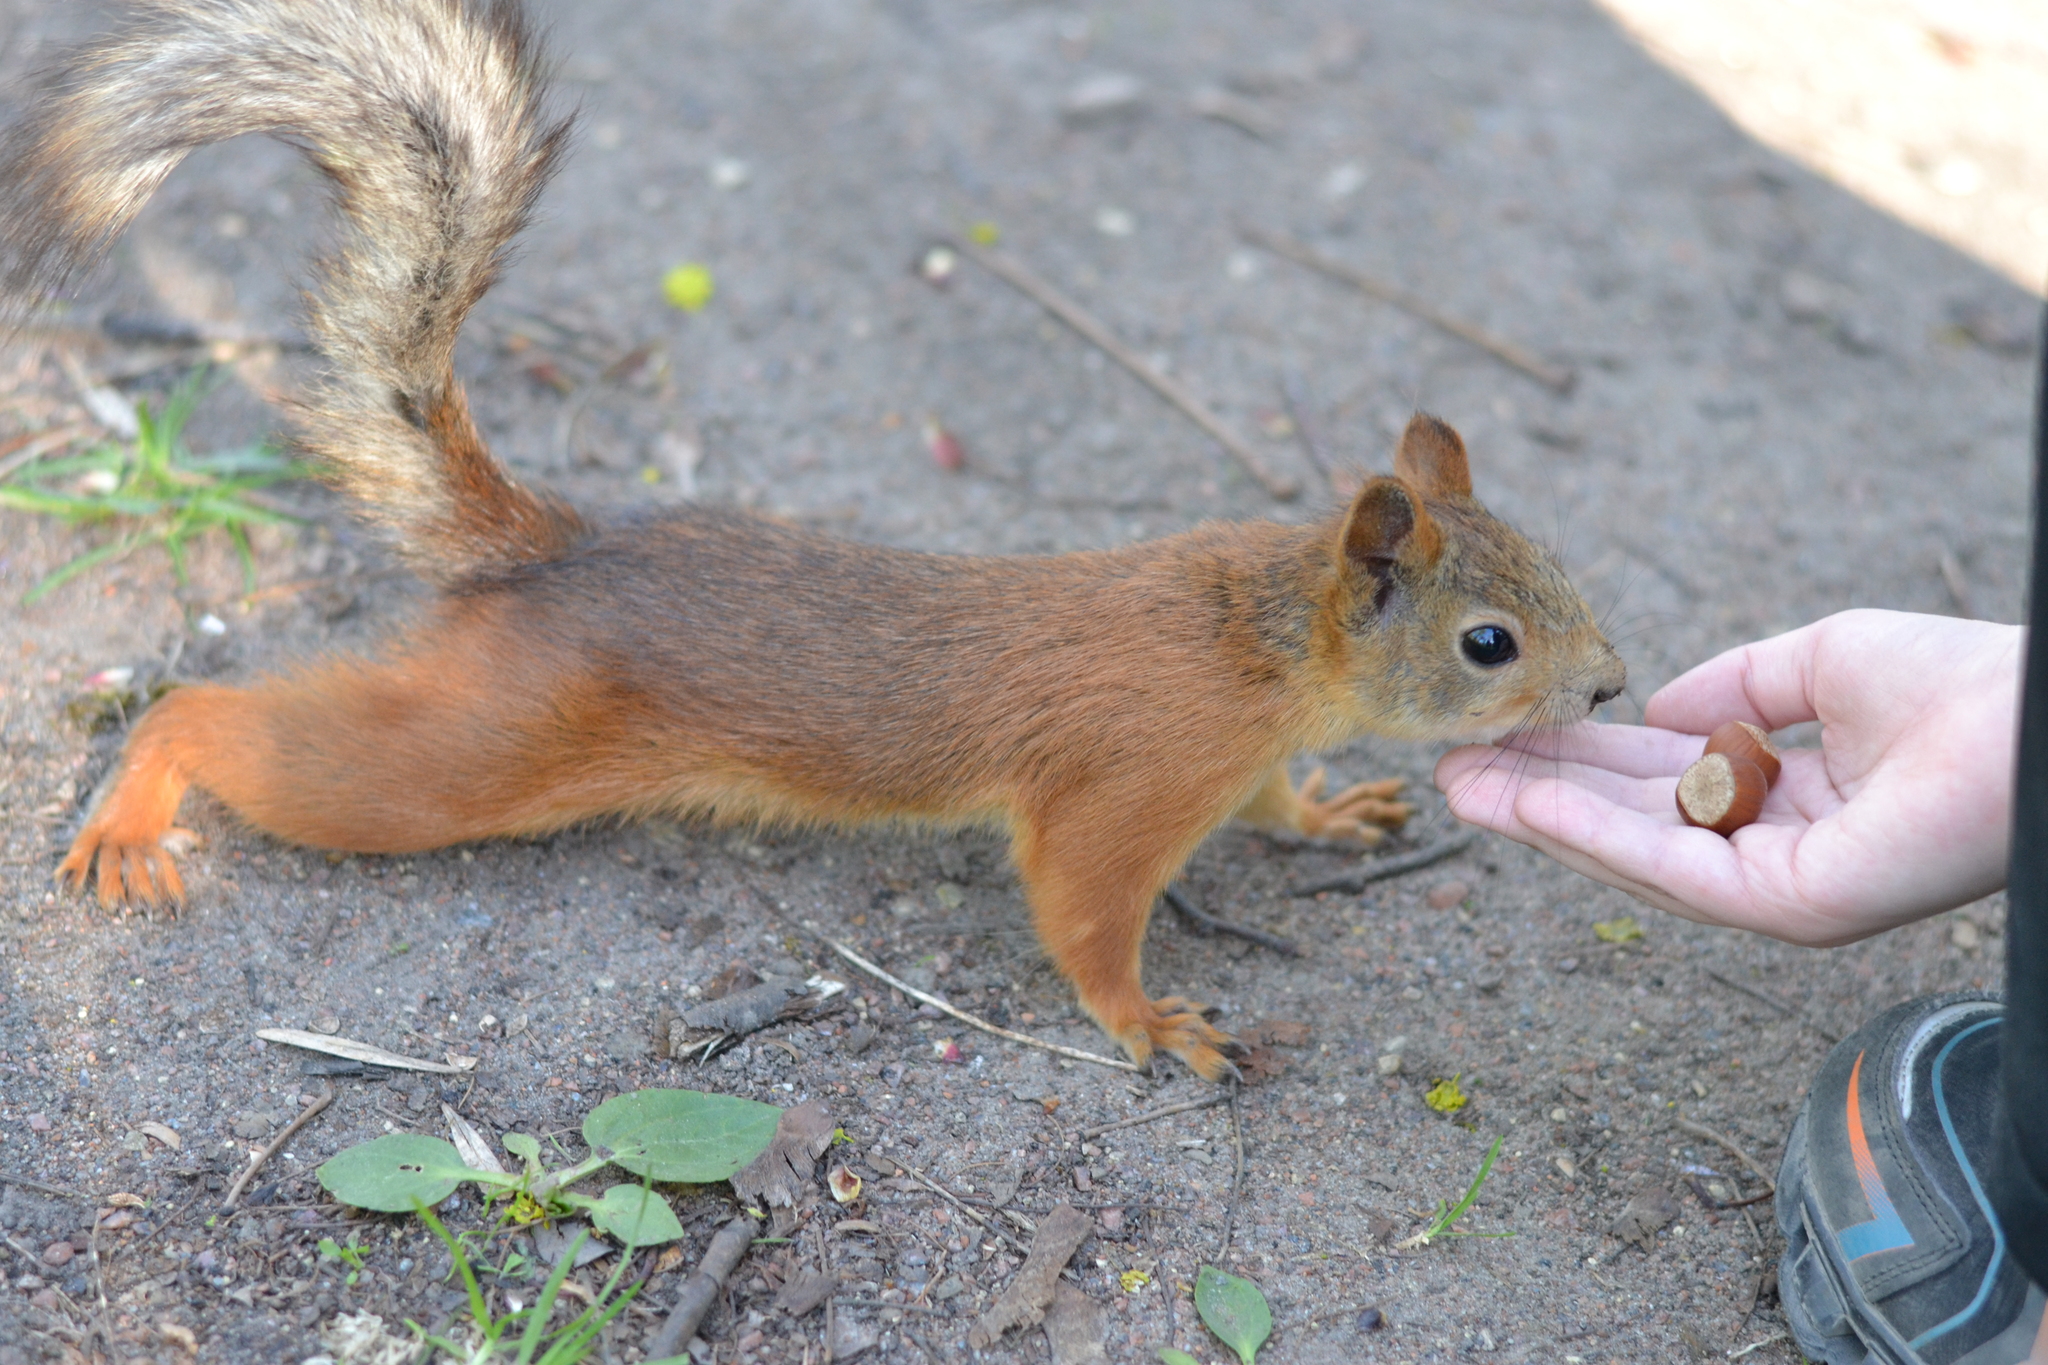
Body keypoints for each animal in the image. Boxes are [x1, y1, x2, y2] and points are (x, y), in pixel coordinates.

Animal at [8, 2, 1622, 1088]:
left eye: (1558, 567)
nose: (1610, 686)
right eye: (1489, 642)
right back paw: (138, 804)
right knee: (232, 722)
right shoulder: (1129, 780)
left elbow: (1280, 799)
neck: (1264, 642)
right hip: (475, 750)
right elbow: (1083, 910)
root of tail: (560, 551)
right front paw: (1149, 1020)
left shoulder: (1239, 755)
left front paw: (1329, 812)